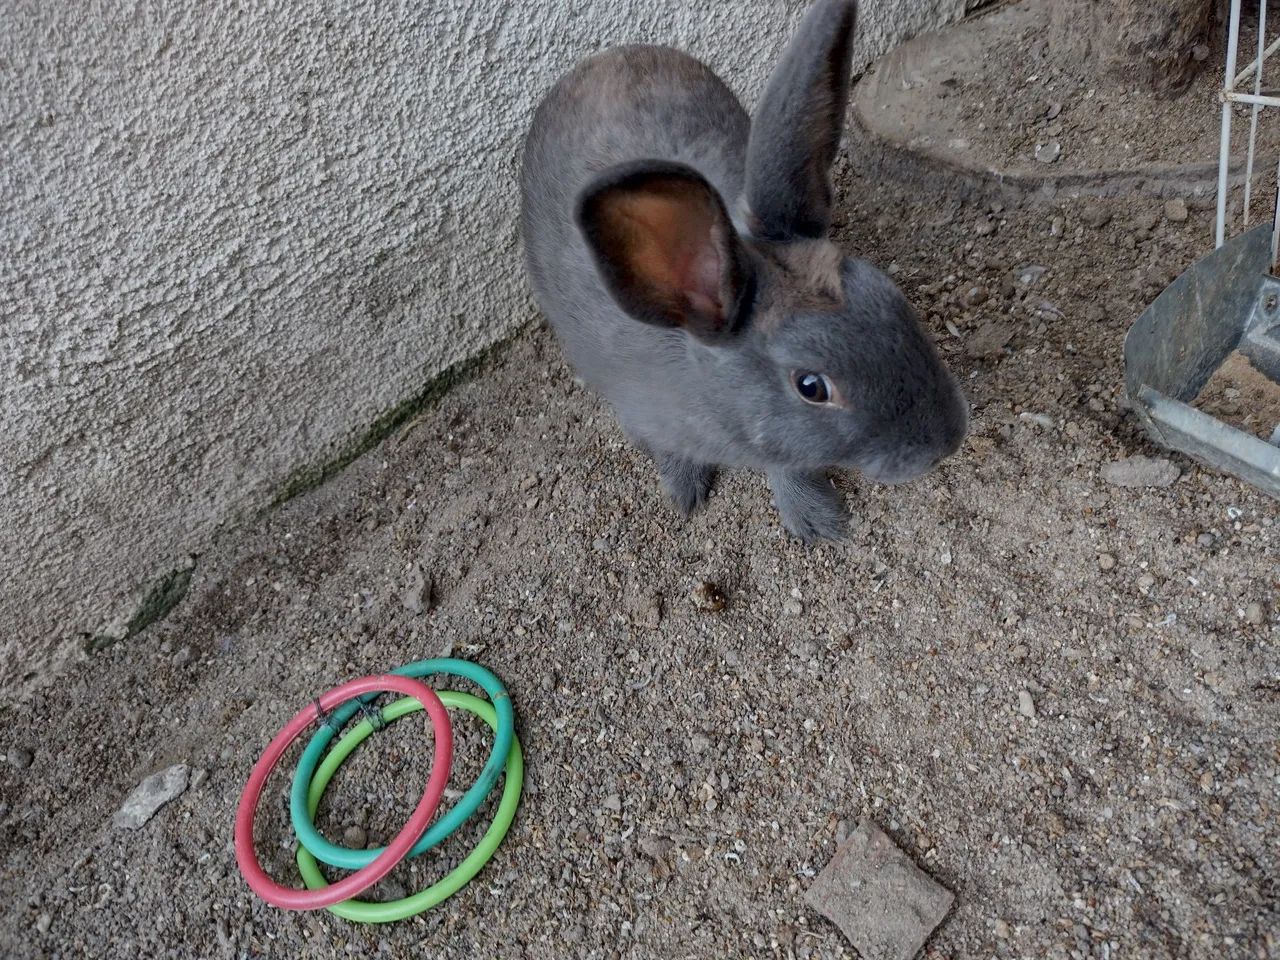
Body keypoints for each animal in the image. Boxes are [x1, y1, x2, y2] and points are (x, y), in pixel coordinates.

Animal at [519, 0, 967, 542]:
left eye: (891, 296)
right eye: (811, 387)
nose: (946, 441)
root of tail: (605, 57)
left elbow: (787, 463)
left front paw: (815, 519)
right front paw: (685, 494)